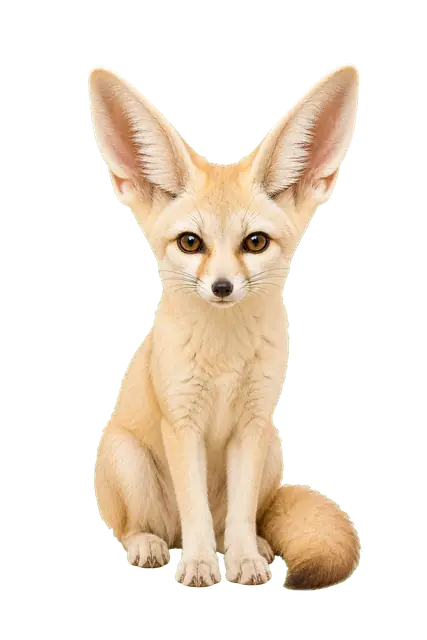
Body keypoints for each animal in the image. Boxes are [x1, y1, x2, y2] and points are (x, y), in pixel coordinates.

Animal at [88, 64, 361, 590]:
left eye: (254, 242)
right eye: (190, 243)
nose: (220, 287)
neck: (223, 359)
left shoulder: (251, 424)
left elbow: (237, 515)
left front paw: (245, 564)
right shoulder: (183, 424)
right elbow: (194, 511)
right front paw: (198, 566)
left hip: (271, 450)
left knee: (239, 520)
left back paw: (254, 548)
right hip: (127, 458)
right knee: (152, 527)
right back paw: (153, 547)